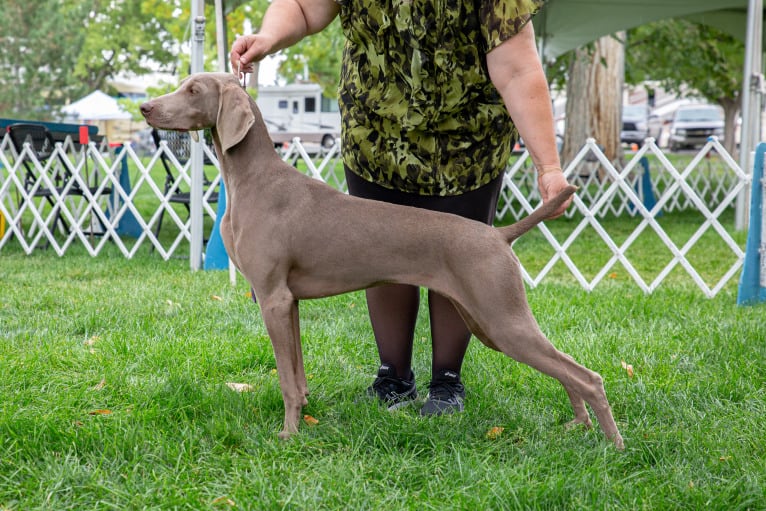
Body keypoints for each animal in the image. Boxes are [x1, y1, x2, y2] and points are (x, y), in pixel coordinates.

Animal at [141, 73, 628, 452]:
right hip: (486, 321)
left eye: (193, 90)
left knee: (587, 376)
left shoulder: (272, 297)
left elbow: (284, 380)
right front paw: (305, 419)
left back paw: (615, 446)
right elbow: (297, 373)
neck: (255, 180)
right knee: (567, 372)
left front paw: (288, 435)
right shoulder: (288, 302)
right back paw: (578, 426)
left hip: (501, 317)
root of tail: (497, 233)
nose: (145, 107)